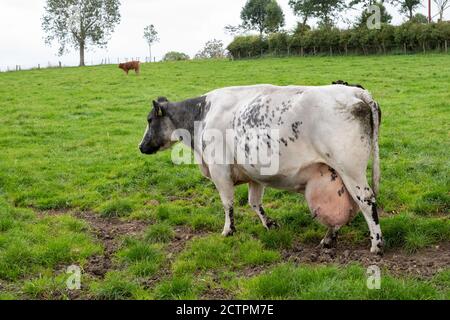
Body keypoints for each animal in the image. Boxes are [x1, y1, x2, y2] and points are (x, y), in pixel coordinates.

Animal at [138, 85, 384, 255]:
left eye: (149, 120)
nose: (141, 146)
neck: (201, 115)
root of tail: (355, 91)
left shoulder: (219, 170)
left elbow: (228, 203)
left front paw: (228, 230)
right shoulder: (253, 174)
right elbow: (254, 202)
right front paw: (270, 224)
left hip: (351, 170)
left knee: (366, 202)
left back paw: (376, 244)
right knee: (349, 207)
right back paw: (328, 239)